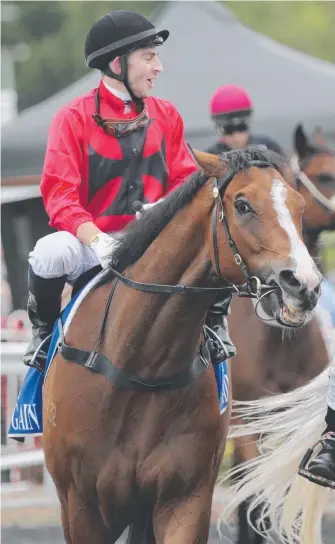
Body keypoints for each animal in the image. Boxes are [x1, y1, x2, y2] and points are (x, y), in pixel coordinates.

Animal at [43, 149, 322, 544]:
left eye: (299, 205)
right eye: (242, 205)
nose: (305, 285)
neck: (139, 369)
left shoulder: (185, 498)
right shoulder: (81, 508)